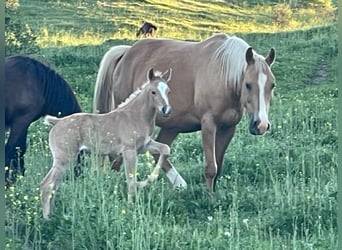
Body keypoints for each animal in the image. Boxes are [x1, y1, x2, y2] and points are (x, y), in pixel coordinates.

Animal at [40, 68, 184, 219]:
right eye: (153, 92)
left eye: (168, 91)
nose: (166, 110)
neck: (135, 116)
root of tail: (57, 122)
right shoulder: (129, 151)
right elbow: (131, 179)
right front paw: (131, 206)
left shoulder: (144, 146)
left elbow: (165, 149)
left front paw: (145, 182)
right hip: (65, 158)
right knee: (47, 184)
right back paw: (47, 219)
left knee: (54, 185)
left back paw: (54, 215)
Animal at [93, 34, 276, 192]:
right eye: (248, 84)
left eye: (272, 85)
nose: (261, 125)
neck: (223, 75)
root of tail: (126, 53)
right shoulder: (208, 126)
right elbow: (211, 167)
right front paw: (209, 199)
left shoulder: (228, 128)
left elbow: (218, 166)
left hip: (172, 126)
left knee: (157, 152)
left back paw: (179, 184)